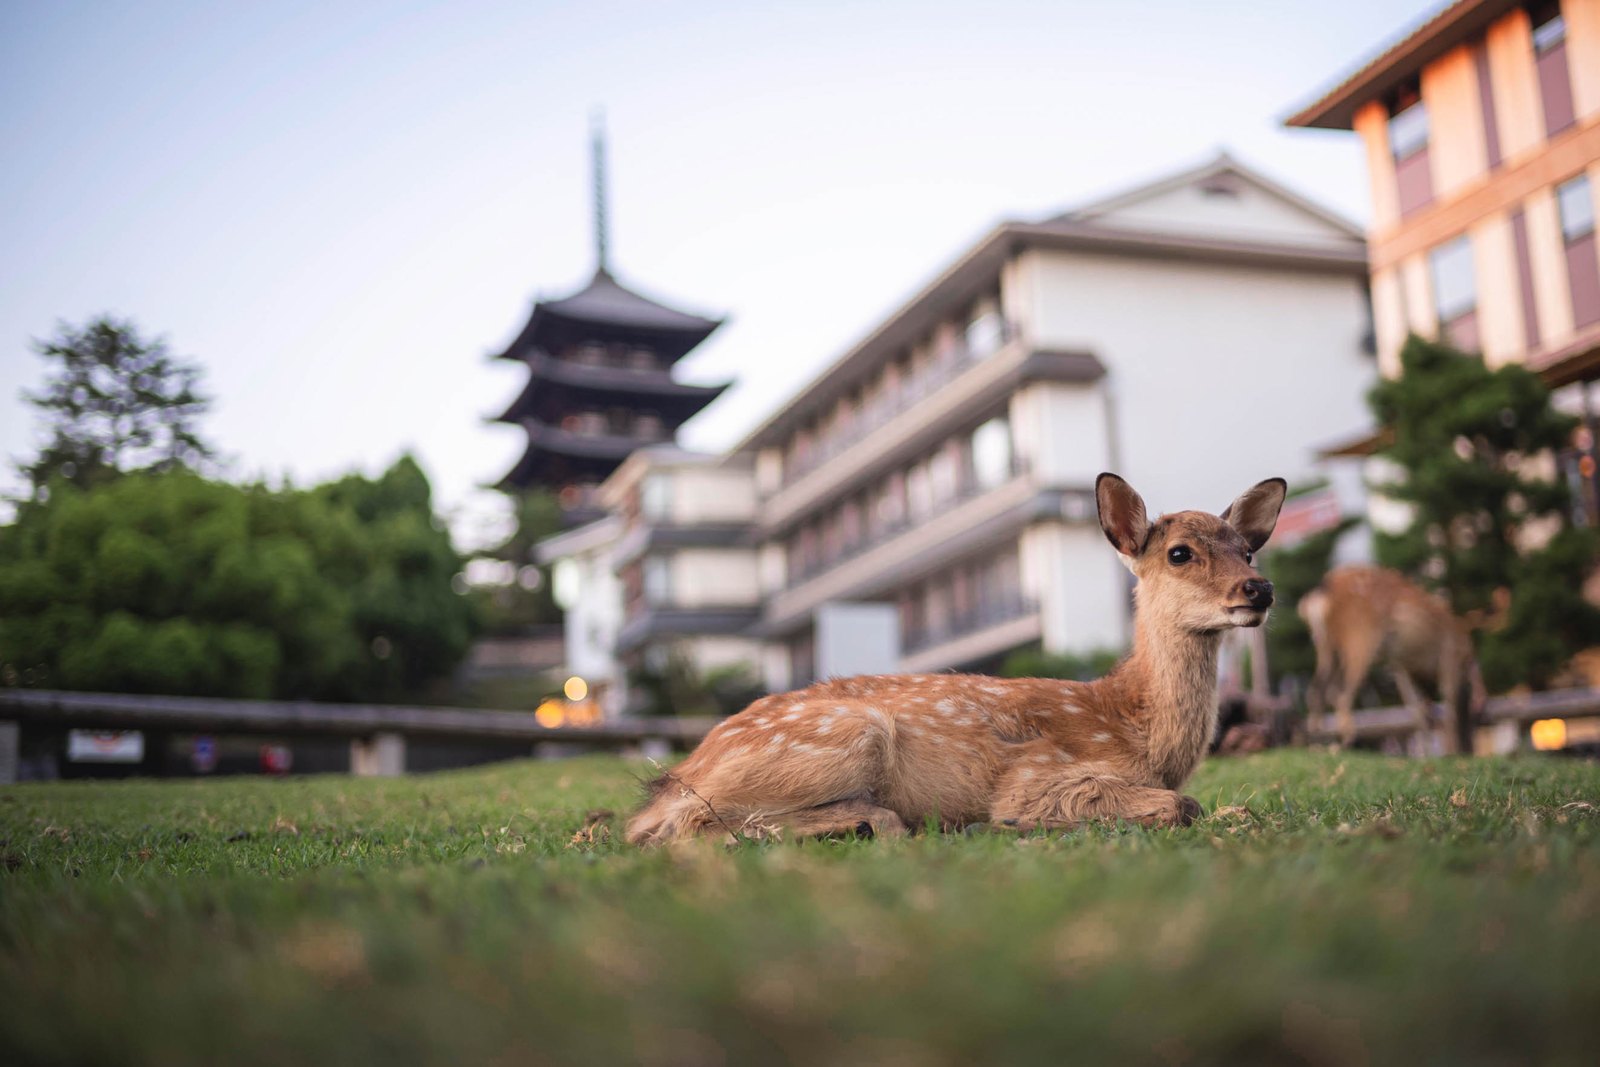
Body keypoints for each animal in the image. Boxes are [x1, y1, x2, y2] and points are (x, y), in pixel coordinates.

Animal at [625, 472, 1287, 845]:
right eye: (1179, 553)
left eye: (1247, 550)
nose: (1259, 589)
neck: (1134, 725)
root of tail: (676, 775)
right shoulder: (1039, 778)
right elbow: (1183, 805)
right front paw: (1012, 825)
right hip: (846, 737)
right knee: (681, 828)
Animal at [1299, 566, 1487, 755]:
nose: (1478, 705)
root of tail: (1318, 595)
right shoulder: (1449, 658)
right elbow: (1449, 710)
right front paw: (1450, 753)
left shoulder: (1401, 666)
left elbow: (1417, 710)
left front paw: (1425, 753)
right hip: (1360, 637)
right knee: (1340, 692)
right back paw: (1342, 743)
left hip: (1326, 646)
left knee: (1317, 690)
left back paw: (1316, 742)